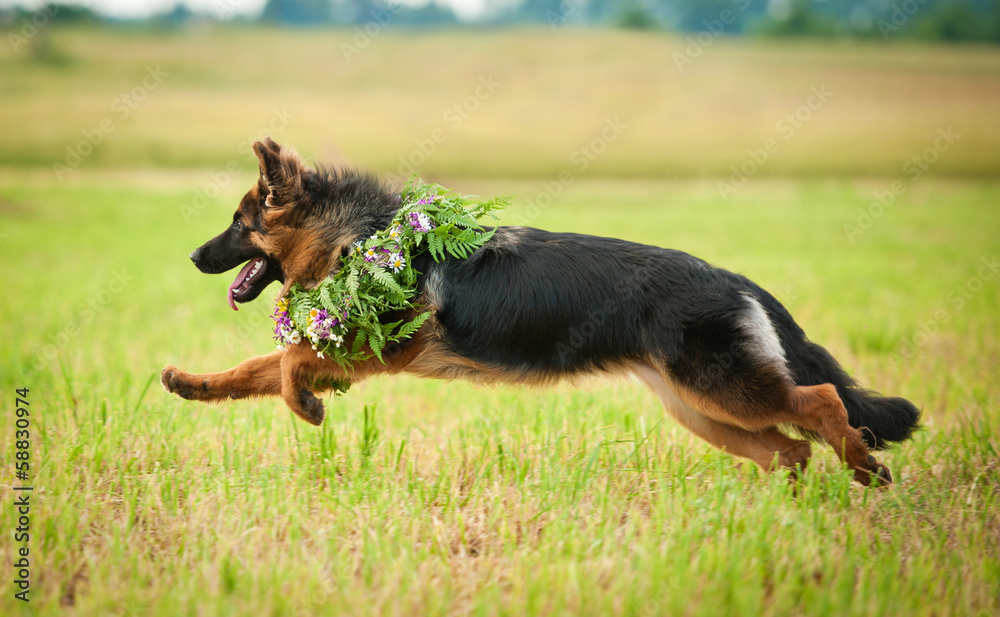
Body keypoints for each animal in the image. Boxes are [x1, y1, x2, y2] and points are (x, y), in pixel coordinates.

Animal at [164, 138, 920, 486]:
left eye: (238, 225)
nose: (193, 257)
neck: (362, 235)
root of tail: (736, 280)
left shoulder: (375, 350)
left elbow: (288, 359)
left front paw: (305, 407)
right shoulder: (353, 351)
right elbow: (255, 367)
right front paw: (191, 385)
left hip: (725, 390)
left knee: (821, 401)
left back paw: (863, 466)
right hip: (703, 409)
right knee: (792, 447)